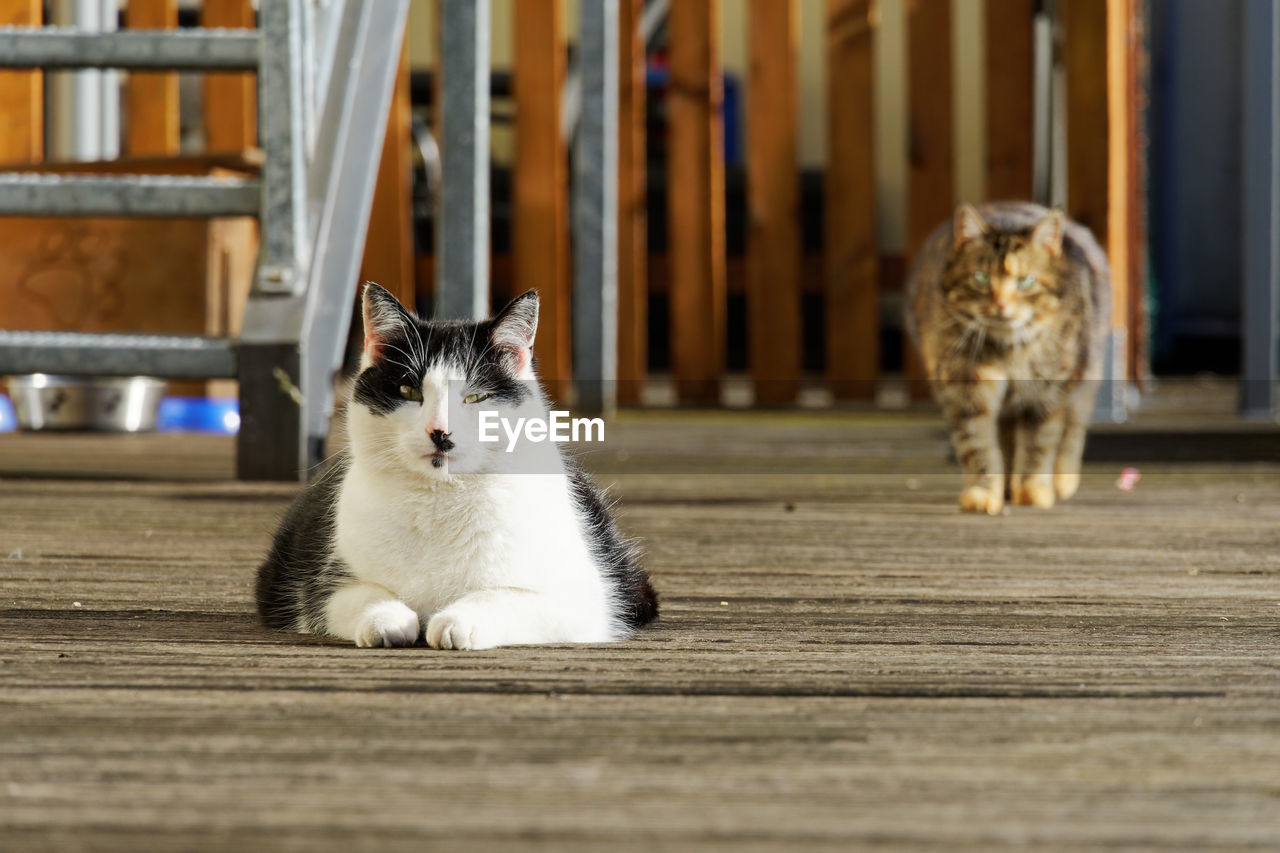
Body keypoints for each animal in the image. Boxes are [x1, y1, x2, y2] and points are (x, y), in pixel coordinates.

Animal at [258, 281, 660, 648]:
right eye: (409, 391)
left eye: (476, 397)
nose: (440, 431)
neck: (440, 498)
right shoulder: (321, 588)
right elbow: (362, 595)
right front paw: (388, 620)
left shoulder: (584, 599)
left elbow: (503, 597)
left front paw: (457, 621)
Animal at [901, 202, 1111, 514]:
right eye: (981, 278)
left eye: (1025, 282)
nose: (1000, 305)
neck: (1008, 352)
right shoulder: (966, 393)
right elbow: (977, 446)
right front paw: (983, 491)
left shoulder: (1045, 397)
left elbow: (1038, 445)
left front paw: (1032, 490)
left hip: (1085, 379)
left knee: (1072, 432)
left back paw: (1060, 480)